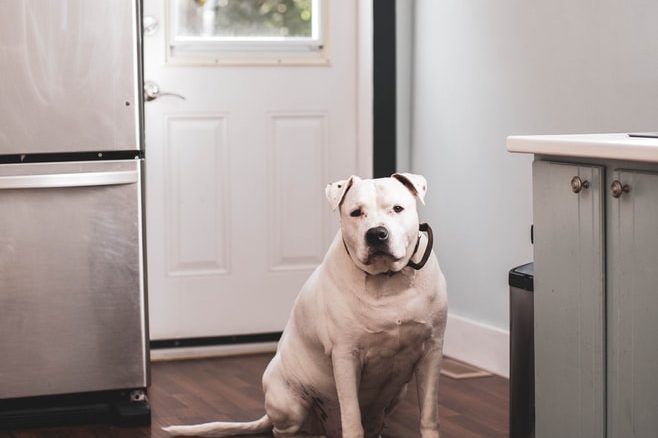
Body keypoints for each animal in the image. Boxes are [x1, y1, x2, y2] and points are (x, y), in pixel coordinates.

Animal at [164, 173, 448, 438]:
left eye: (397, 209)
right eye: (356, 212)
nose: (377, 234)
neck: (388, 281)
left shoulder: (431, 351)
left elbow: (429, 415)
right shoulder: (346, 357)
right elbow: (352, 418)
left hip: (398, 393)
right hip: (288, 402)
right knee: (286, 430)